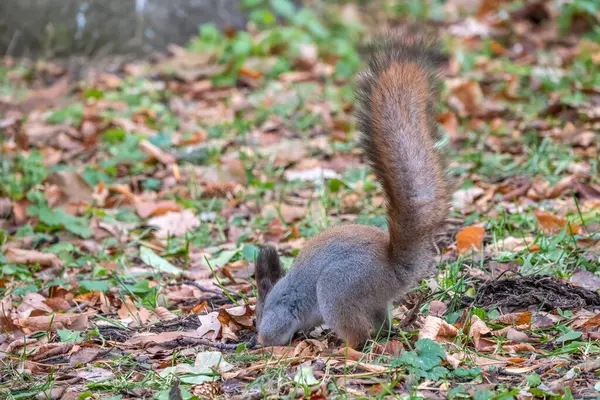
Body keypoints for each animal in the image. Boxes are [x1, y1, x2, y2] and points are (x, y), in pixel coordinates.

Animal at [254, 33, 450, 346]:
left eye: (257, 315)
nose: (255, 330)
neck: (275, 294)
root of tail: (392, 270)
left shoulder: (282, 311)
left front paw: (265, 342)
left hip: (338, 289)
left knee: (358, 334)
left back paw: (342, 347)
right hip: (372, 301)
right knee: (381, 326)